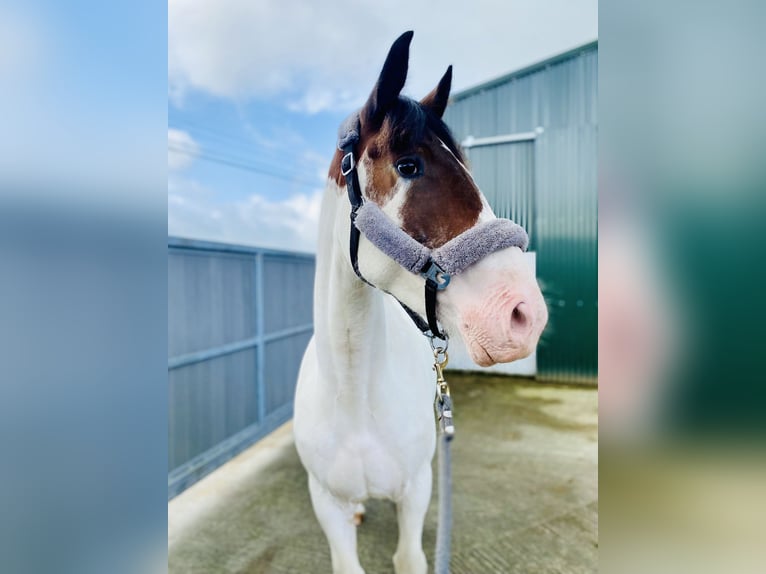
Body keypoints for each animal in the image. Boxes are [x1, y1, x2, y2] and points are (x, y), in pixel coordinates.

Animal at [292, 31, 548, 574]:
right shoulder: (327, 506)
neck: (354, 398)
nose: (524, 315)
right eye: (409, 166)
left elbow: (409, 557)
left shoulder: (416, 492)